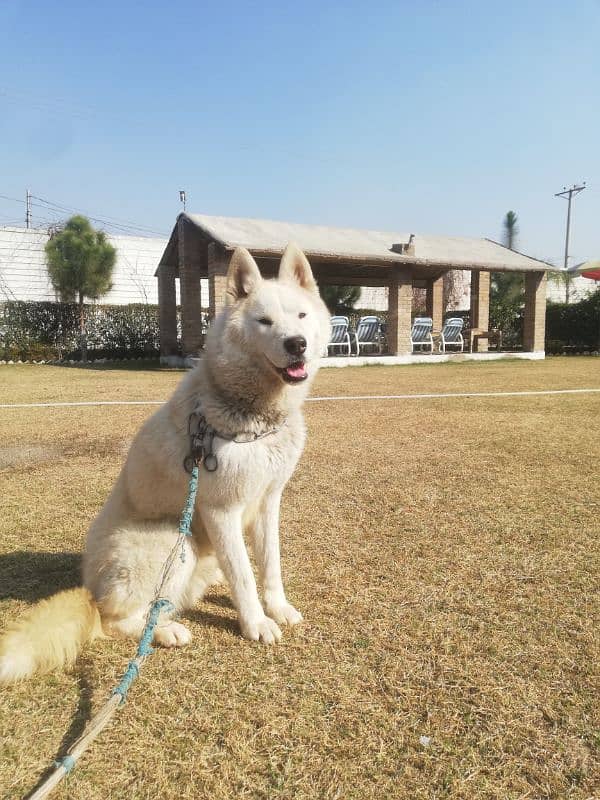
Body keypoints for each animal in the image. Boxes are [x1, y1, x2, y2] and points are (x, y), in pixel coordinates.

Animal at [0, 244, 330, 680]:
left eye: (301, 316)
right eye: (264, 321)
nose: (296, 344)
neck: (252, 414)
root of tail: (90, 590)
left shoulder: (267, 502)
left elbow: (269, 565)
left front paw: (277, 608)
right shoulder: (221, 511)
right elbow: (244, 576)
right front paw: (256, 623)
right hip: (177, 541)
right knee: (114, 621)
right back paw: (165, 631)